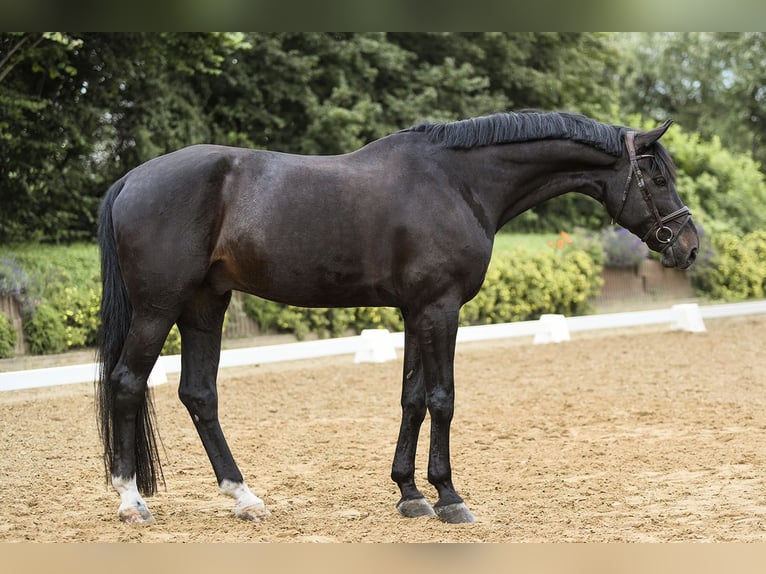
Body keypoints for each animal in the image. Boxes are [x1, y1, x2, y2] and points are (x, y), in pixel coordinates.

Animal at [97, 111, 704, 528]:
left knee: (199, 394)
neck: (458, 181)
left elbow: (412, 398)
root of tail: (130, 180)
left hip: (206, 305)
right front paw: (449, 496)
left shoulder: (416, 311)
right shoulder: (440, 308)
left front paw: (410, 494)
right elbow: (442, 398)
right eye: (657, 179)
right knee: (127, 383)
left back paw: (244, 497)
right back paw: (131, 501)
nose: (689, 245)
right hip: (159, 308)